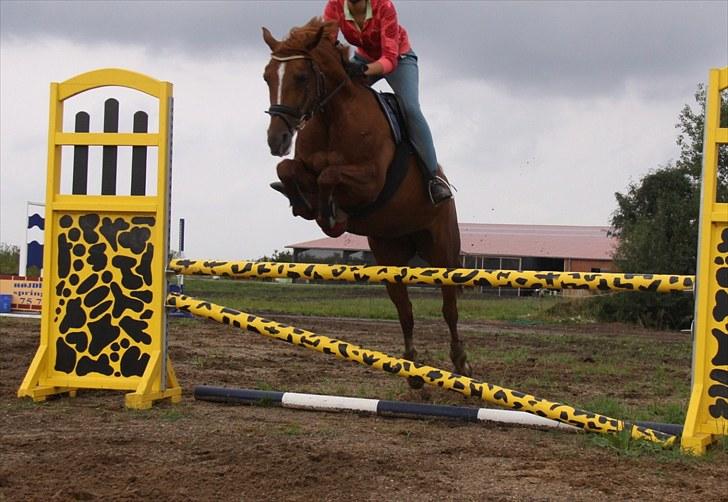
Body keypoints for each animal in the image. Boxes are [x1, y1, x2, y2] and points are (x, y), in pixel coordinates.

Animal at [261, 18, 471, 386]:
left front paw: (332, 216)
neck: (333, 117)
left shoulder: (371, 181)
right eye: (267, 76)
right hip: (389, 256)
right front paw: (304, 202)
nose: (277, 139)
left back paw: (460, 364)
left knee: (449, 308)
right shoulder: (301, 166)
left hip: (443, 251)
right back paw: (413, 373)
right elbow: (287, 170)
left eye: (301, 77)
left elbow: (329, 177)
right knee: (405, 311)